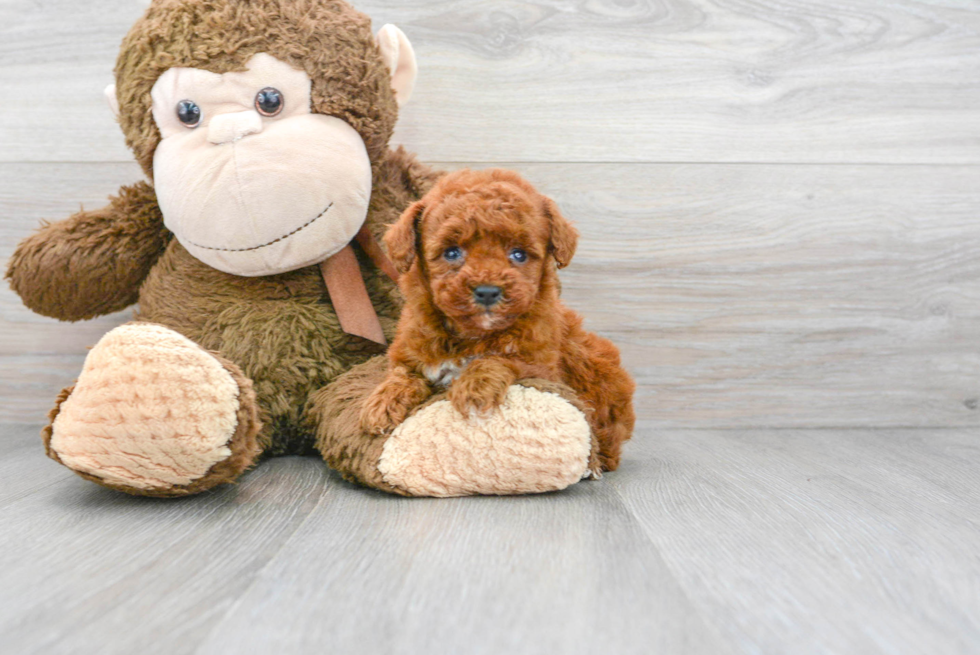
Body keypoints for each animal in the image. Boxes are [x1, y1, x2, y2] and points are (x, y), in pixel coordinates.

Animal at [362, 169, 636, 472]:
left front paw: (474, 388)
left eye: (519, 254)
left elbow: (499, 358)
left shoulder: (542, 366)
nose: (487, 291)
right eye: (451, 252)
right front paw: (382, 404)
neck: (471, 334)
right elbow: (403, 375)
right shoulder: (411, 351)